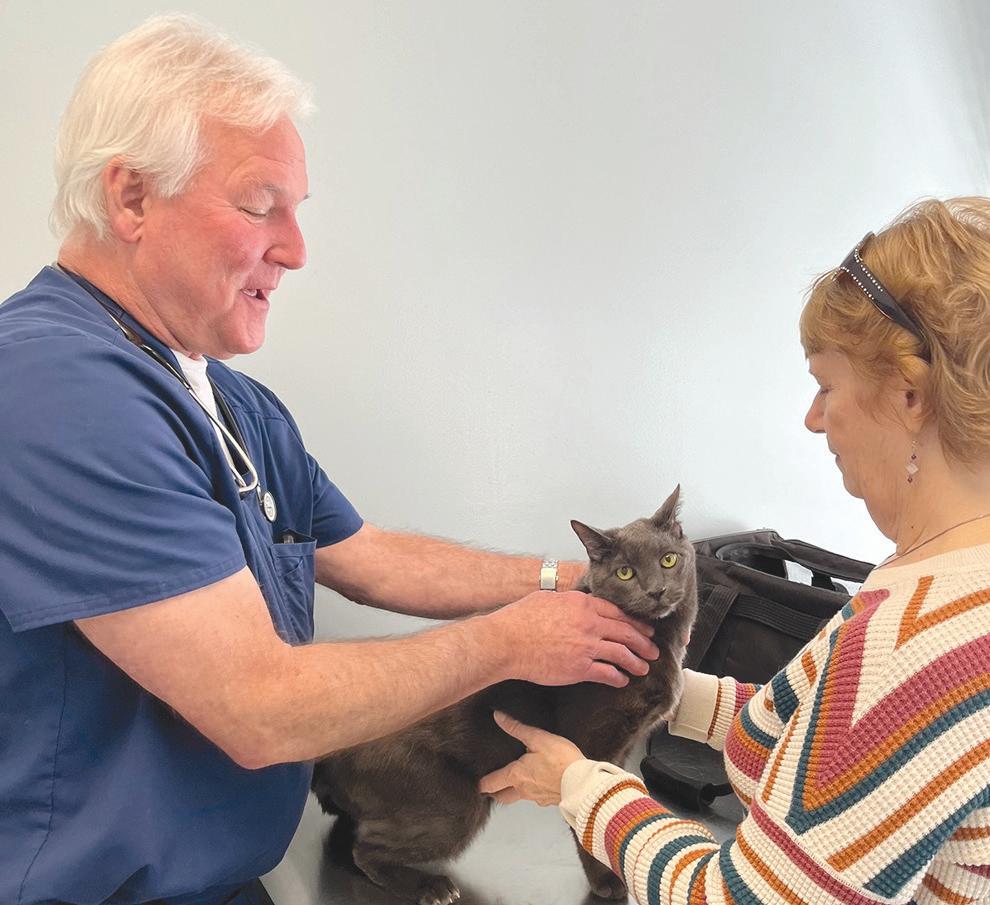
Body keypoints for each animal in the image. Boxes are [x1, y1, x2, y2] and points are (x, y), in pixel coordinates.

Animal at [311, 486, 697, 905]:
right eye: (625, 572)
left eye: (669, 559)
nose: (656, 590)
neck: (660, 643)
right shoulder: (593, 744)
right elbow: (589, 812)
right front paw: (605, 880)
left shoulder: (623, 747)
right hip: (453, 805)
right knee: (365, 849)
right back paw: (432, 887)